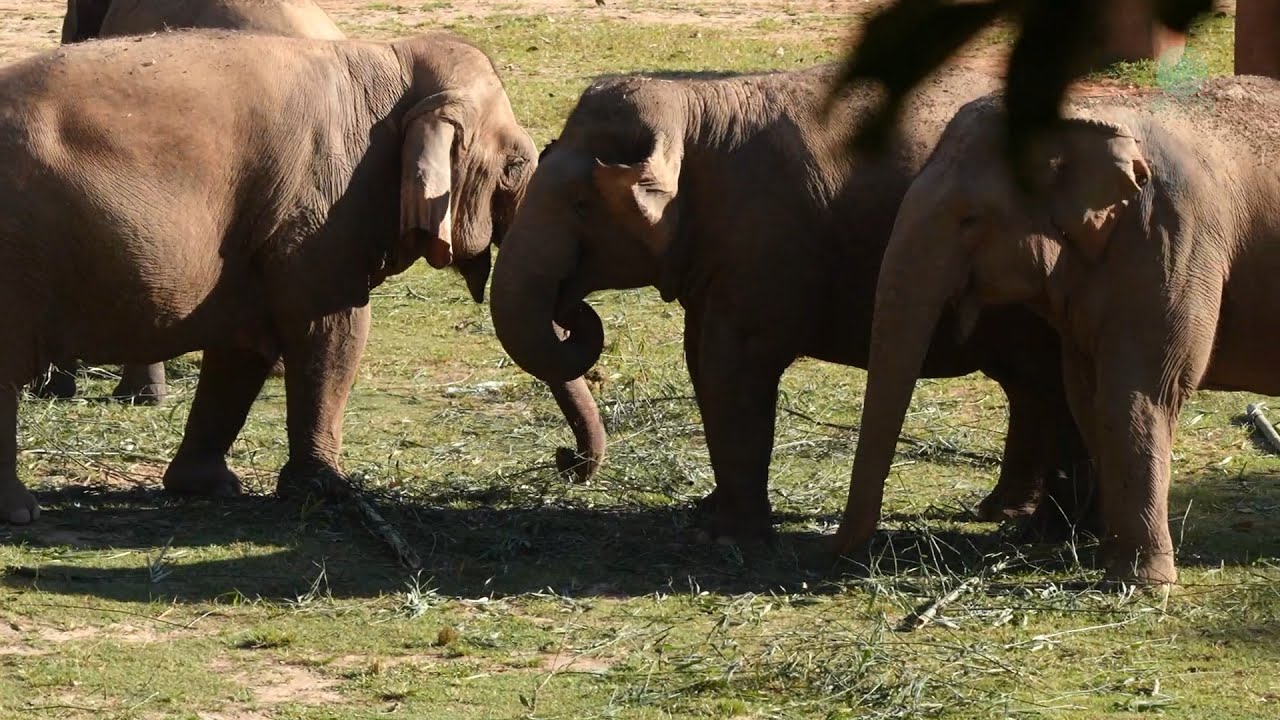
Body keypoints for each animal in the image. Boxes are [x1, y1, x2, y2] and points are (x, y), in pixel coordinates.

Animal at [490, 66, 1095, 544]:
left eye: (581, 204)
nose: (565, 462)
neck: (693, 105)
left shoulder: (766, 245)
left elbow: (731, 367)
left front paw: (728, 535)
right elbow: (700, 363)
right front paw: (708, 514)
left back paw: (1046, 528)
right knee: (1031, 383)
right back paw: (1003, 511)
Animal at [831, 75, 1280, 585]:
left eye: (970, 218)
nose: (838, 556)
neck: (1088, 112)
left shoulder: (1176, 237)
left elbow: (1142, 393)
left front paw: (1141, 584)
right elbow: (1085, 393)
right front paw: (1109, 559)